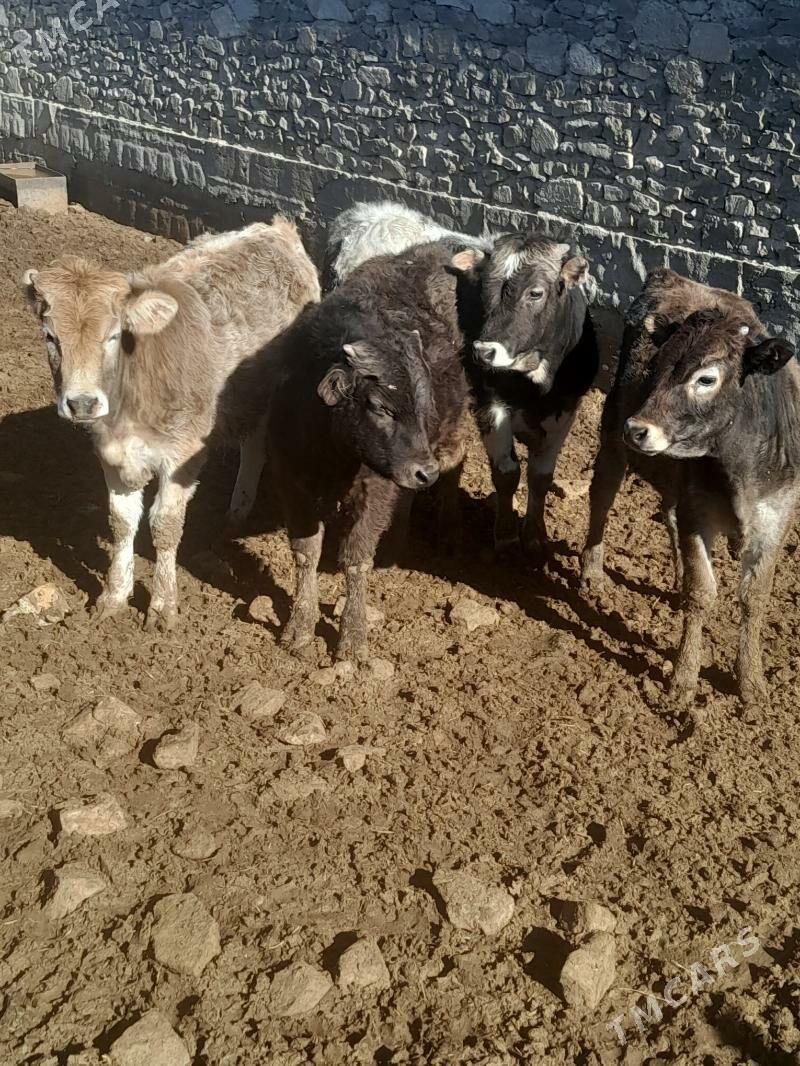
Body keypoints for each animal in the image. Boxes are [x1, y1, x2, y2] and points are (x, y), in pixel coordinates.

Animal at [23, 218, 320, 630]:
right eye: (50, 337)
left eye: (113, 335)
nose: (82, 403)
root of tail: (276, 228)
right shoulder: (110, 455)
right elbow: (121, 523)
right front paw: (114, 596)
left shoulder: (181, 456)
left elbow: (164, 527)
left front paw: (163, 605)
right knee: (253, 445)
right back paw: (236, 512)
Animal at [266, 241, 470, 663]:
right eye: (380, 407)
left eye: (423, 401)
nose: (424, 471)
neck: (331, 455)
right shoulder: (291, 483)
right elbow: (305, 552)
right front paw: (299, 626)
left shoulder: (374, 489)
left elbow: (356, 558)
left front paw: (353, 636)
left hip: (448, 433)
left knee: (455, 461)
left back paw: (449, 530)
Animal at [329, 202, 599, 557]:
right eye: (484, 290)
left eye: (536, 292)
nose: (484, 350)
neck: (534, 387)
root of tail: (362, 215)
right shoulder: (490, 405)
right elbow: (507, 472)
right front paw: (506, 536)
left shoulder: (565, 409)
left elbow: (541, 476)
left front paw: (536, 537)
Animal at [580, 268, 798, 706]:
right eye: (657, 366)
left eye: (706, 378)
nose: (638, 429)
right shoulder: (699, 514)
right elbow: (701, 593)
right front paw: (682, 679)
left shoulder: (777, 519)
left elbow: (754, 598)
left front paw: (752, 683)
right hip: (611, 434)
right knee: (602, 497)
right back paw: (591, 570)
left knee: (668, 513)